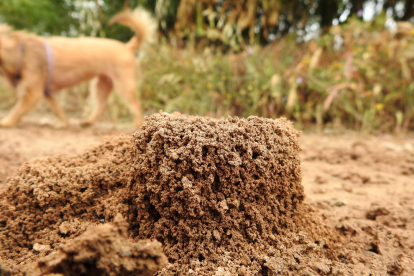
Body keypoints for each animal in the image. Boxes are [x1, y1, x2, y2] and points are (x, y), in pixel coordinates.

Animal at [0, 7, 155, 128]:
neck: (19, 50)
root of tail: (127, 47)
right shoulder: (45, 91)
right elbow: (57, 109)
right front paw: (64, 123)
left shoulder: (33, 92)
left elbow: (17, 110)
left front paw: (6, 122)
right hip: (101, 84)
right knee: (102, 104)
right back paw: (88, 122)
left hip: (124, 85)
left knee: (136, 104)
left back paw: (136, 125)